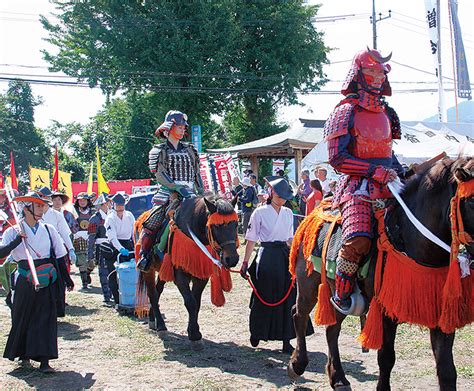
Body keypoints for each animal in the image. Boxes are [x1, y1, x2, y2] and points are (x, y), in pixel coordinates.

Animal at [286, 157, 472, 391]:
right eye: (471, 200)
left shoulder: (441, 315)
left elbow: (446, 369)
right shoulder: (384, 314)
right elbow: (386, 357)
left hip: (335, 293)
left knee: (332, 330)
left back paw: (338, 378)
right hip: (307, 283)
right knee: (298, 314)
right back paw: (297, 364)